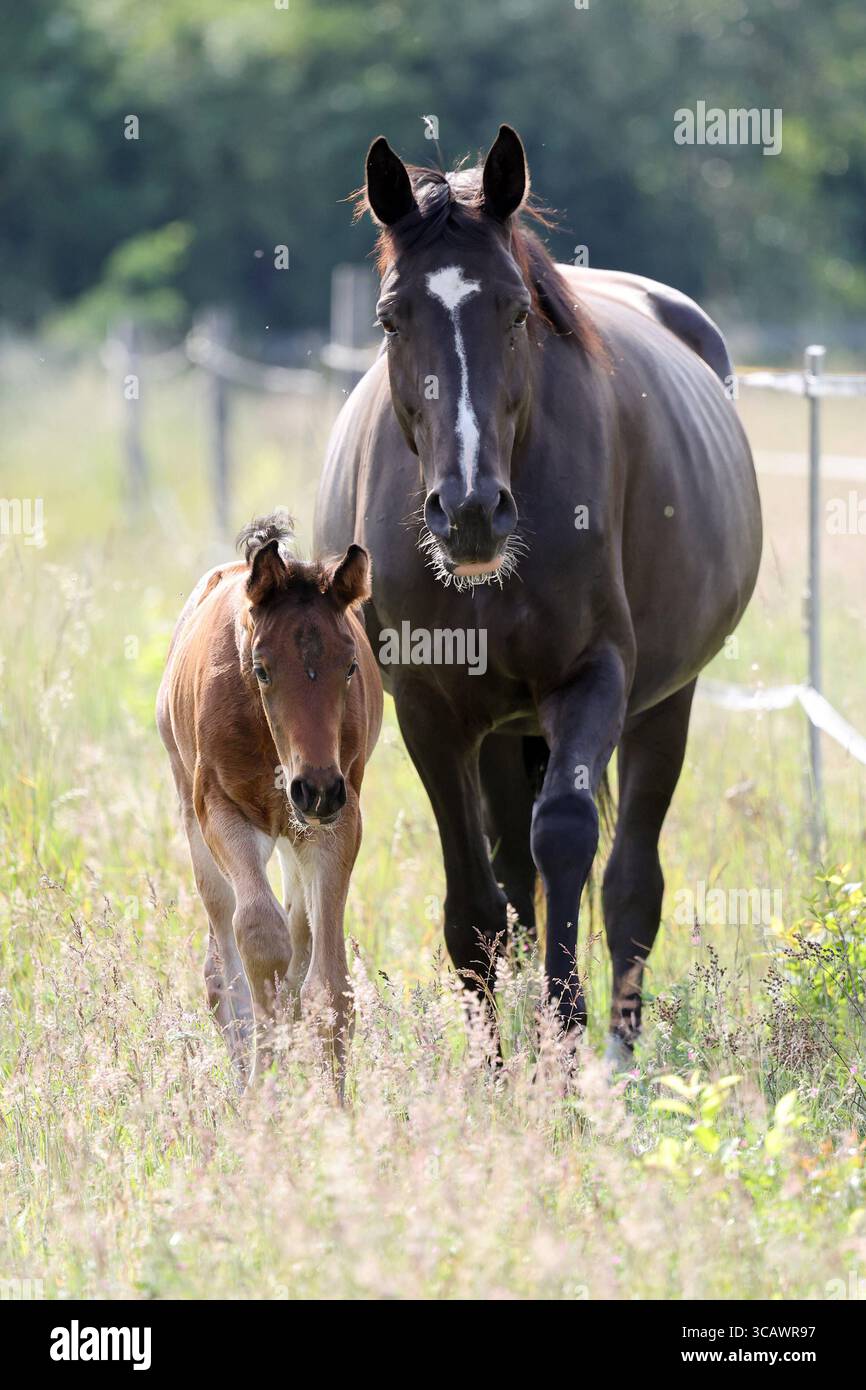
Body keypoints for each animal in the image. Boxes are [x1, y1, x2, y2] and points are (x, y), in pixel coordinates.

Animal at [157, 515, 383, 1084]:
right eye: (261, 669)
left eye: (350, 666)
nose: (316, 788)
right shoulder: (222, 810)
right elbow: (258, 935)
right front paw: (265, 1093)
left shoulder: (340, 819)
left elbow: (330, 986)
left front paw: (334, 1103)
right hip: (195, 814)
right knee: (223, 953)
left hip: (297, 833)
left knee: (299, 935)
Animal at [314, 125, 762, 1063]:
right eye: (389, 318)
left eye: (517, 312)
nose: (470, 512)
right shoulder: (430, 709)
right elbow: (475, 903)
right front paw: (496, 1069)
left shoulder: (592, 680)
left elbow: (565, 840)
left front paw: (566, 1041)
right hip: (498, 728)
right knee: (514, 881)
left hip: (663, 703)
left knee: (628, 884)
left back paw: (621, 1057)